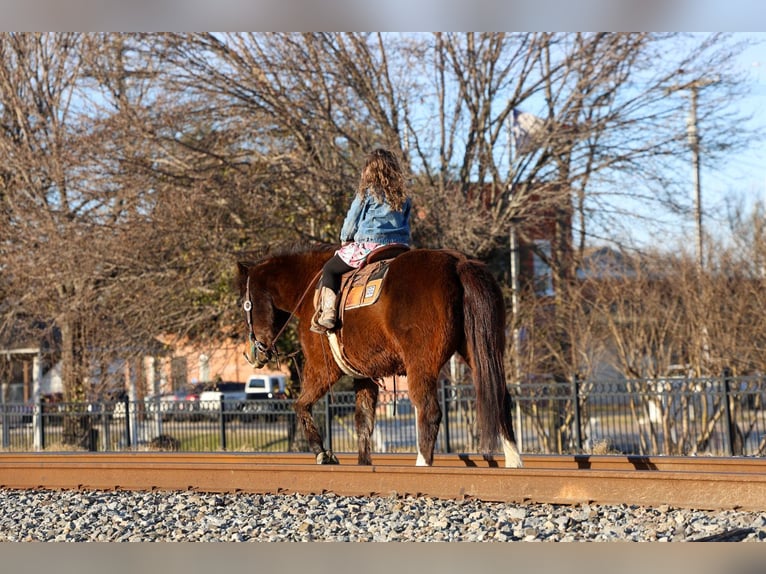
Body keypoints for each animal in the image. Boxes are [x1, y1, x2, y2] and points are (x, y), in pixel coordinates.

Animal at [236, 244, 522, 468]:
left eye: (245, 303)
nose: (253, 354)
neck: (309, 288)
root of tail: (457, 263)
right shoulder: (364, 375)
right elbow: (363, 422)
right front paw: (364, 463)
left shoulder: (321, 369)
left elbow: (300, 405)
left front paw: (321, 452)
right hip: (482, 354)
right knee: (500, 399)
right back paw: (514, 461)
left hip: (421, 364)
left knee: (429, 411)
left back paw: (423, 464)